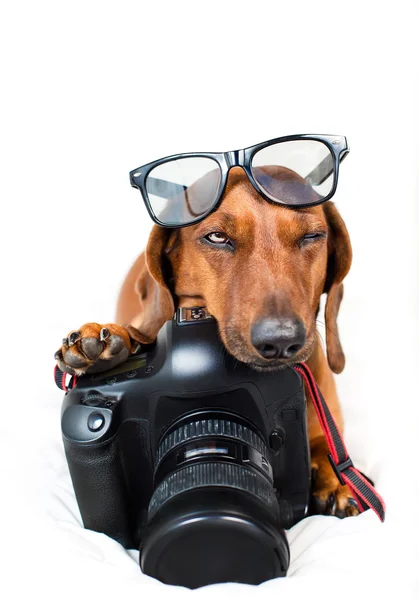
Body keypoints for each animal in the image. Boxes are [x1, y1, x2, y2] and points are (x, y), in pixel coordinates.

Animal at [55, 166, 358, 516]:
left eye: (311, 236)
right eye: (217, 237)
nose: (281, 341)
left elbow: (328, 446)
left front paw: (337, 481)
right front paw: (102, 343)